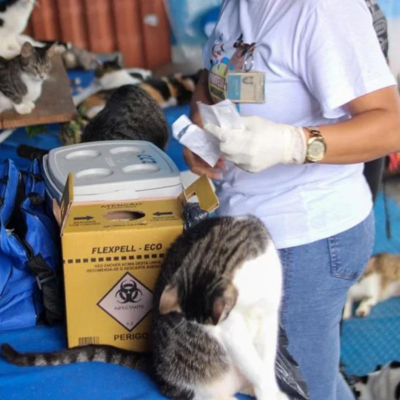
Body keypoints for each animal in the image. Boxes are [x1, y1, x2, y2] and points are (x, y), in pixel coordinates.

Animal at [0, 216, 288, 400]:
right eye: (203, 328)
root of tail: (155, 366)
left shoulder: (269, 313)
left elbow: (265, 357)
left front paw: (270, 387)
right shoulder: (230, 329)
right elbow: (250, 359)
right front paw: (269, 390)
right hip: (188, 380)